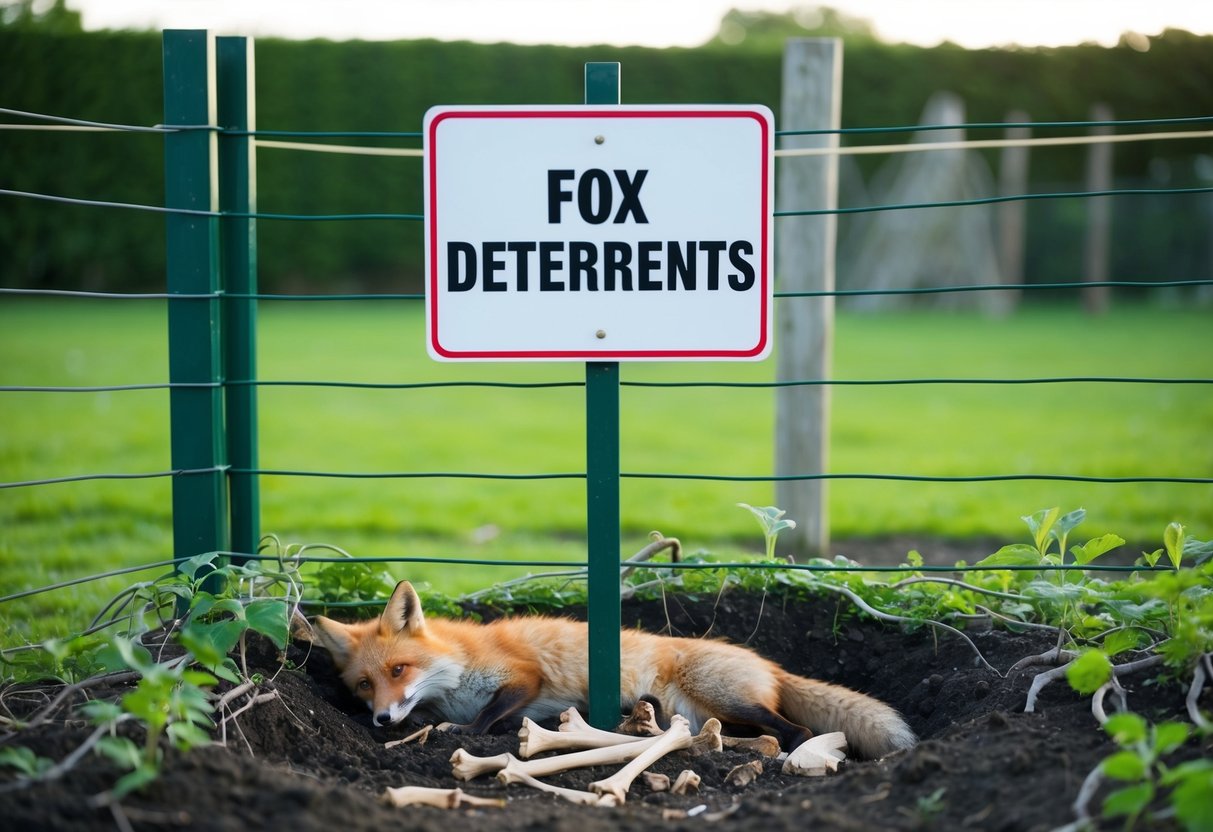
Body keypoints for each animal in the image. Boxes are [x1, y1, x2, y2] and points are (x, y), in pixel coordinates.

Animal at [311, 580, 917, 759]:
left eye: (399, 668)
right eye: (364, 684)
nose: (382, 720)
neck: (457, 670)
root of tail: (766, 660)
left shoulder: (522, 677)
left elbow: (487, 719)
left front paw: (462, 731)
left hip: (726, 697)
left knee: (797, 728)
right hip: (700, 711)